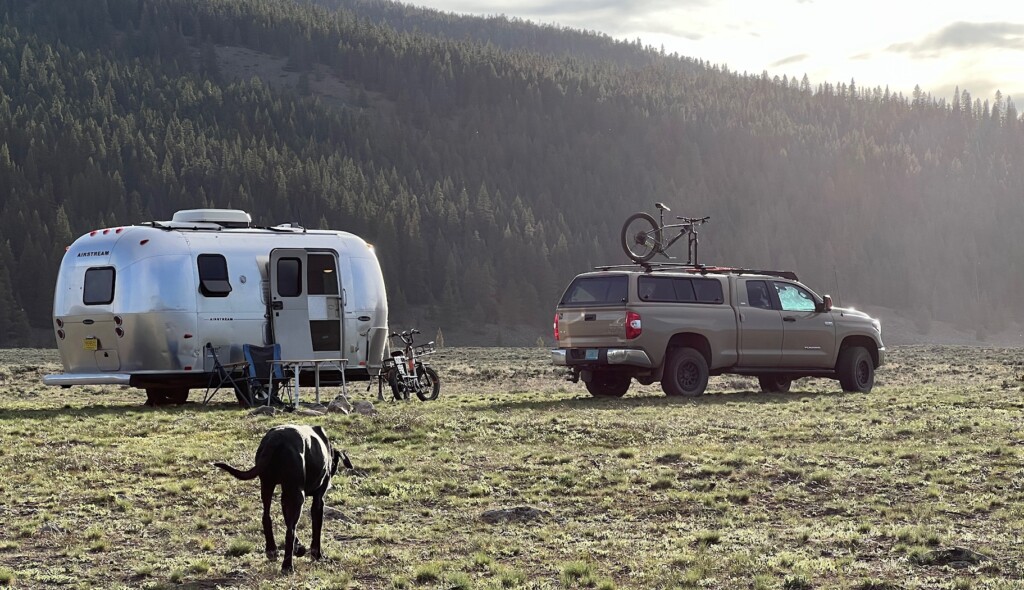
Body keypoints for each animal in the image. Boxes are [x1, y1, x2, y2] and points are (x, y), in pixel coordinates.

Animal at [212, 424, 352, 573]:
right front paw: (317, 555)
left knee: (267, 517)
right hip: (297, 496)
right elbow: (316, 529)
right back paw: (287, 565)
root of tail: (275, 440)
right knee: (290, 531)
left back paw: (272, 550)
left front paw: (299, 548)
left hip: (267, 485)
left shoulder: (285, 497)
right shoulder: (318, 500)